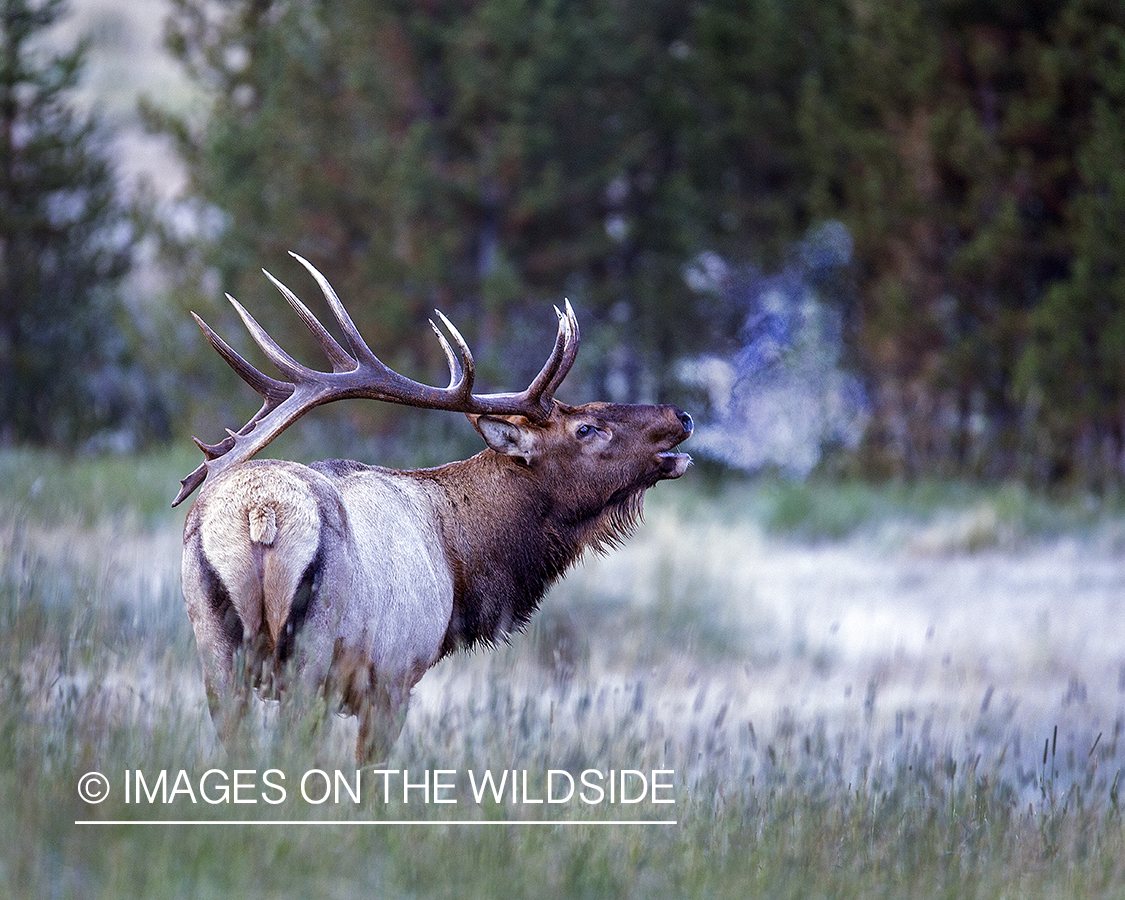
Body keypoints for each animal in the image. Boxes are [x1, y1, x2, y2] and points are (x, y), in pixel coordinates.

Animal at [175, 250, 688, 760]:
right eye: (586, 428)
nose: (680, 416)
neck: (463, 565)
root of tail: (261, 513)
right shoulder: (393, 676)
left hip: (216, 650)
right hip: (309, 652)